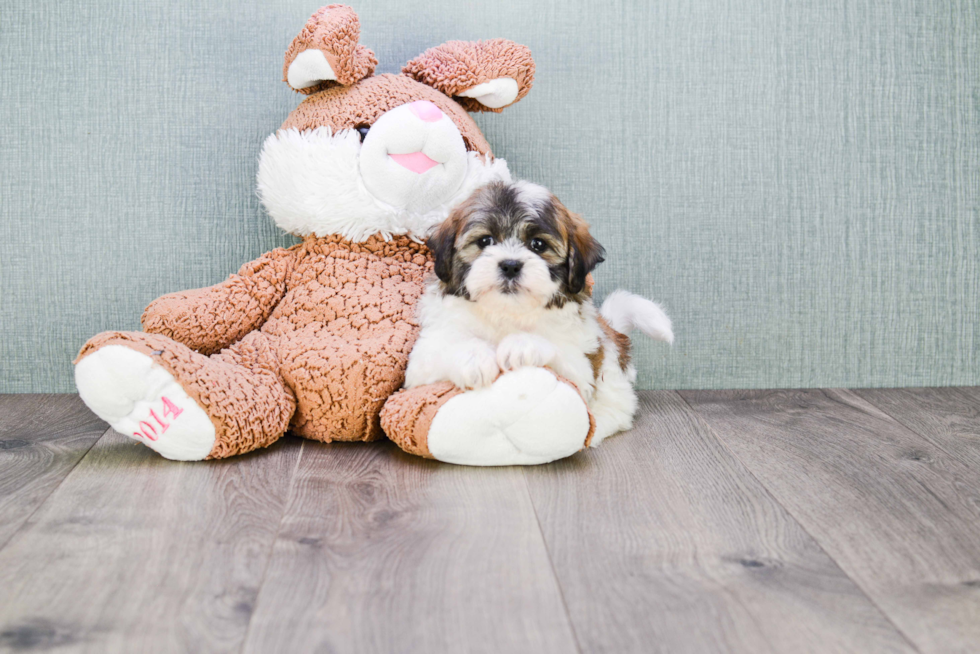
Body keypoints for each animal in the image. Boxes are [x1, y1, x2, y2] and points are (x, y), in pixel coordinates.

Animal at [406, 181, 672, 446]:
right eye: (485, 241)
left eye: (538, 245)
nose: (510, 265)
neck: (506, 312)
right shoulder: (421, 364)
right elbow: (445, 349)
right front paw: (474, 359)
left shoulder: (579, 368)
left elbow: (557, 352)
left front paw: (520, 346)